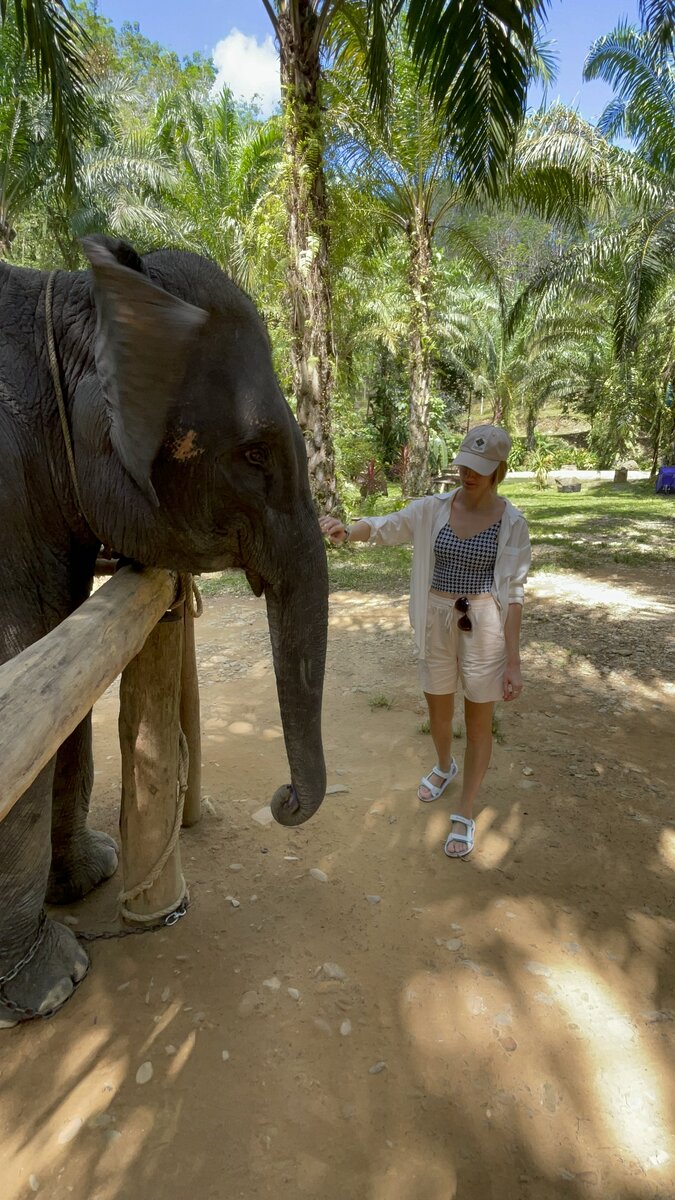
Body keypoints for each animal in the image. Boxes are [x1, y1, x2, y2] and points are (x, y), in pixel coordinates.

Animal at [0, 238, 329, 1027]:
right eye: (253, 454)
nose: (283, 800)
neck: (74, 295)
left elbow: (61, 690)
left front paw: (94, 874)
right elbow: (21, 664)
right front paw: (54, 984)